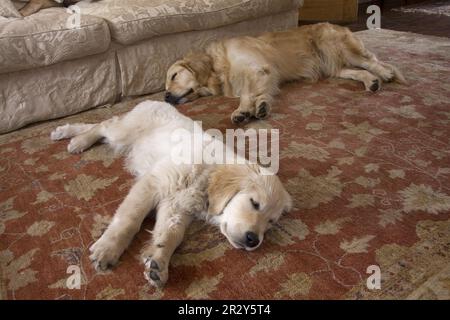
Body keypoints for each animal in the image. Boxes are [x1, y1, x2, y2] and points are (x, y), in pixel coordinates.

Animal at [50, 100, 292, 288]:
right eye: (254, 203)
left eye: (270, 223)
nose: (254, 241)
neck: (206, 174)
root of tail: (154, 100)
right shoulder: (154, 183)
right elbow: (129, 220)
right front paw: (108, 249)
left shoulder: (176, 206)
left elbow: (171, 234)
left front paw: (158, 263)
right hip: (124, 133)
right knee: (104, 124)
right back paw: (78, 140)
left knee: (101, 124)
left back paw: (66, 132)